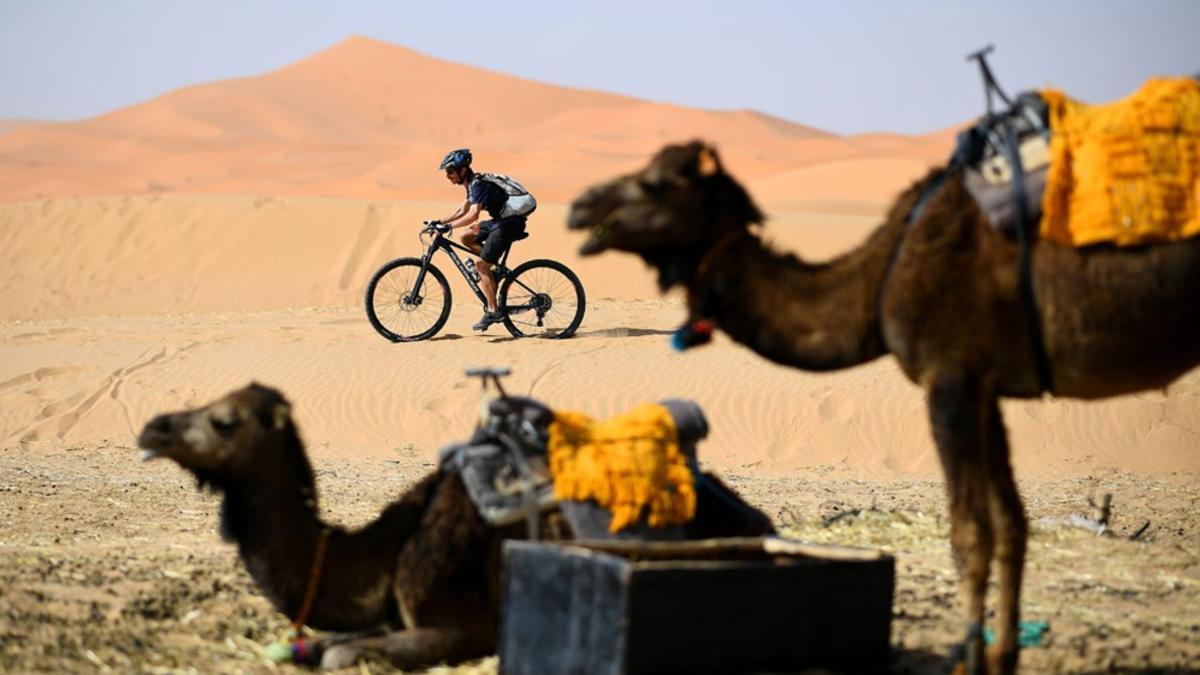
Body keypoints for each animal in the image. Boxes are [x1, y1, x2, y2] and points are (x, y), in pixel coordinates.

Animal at [136, 381, 772, 662]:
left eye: (224, 419)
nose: (152, 428)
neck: (385, 553)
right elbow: (321, 646)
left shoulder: (457, 626)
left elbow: (340, 655)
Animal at [566, 139, 1200, 667]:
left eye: (654, 183)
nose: (578, 207)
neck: (883, 274)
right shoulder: (985, 386)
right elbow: (1012, 526)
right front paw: (999, 659)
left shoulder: (949, 376)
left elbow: (971, 534)